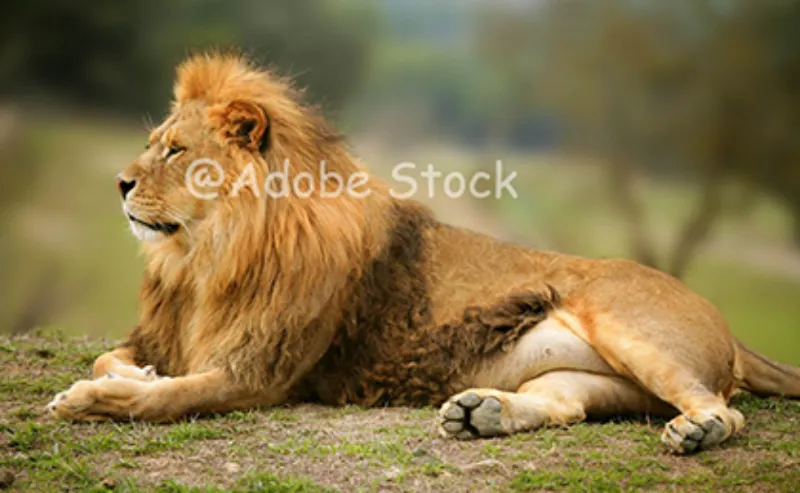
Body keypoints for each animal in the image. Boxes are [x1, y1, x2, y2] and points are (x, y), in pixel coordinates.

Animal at [45, 52, 800, 452]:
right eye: (154, 142)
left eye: (176, 150)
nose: (119, 183)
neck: (205, 256)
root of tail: (722, 319)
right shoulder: (173, 334)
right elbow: (116, 358)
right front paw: (132, 374)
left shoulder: (261, 372)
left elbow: (163, 399)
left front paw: (93, 399)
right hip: (593, 379)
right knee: (570, 405)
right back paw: (479, 412)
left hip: (628, 325)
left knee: (724, 408)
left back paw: (695, 432)